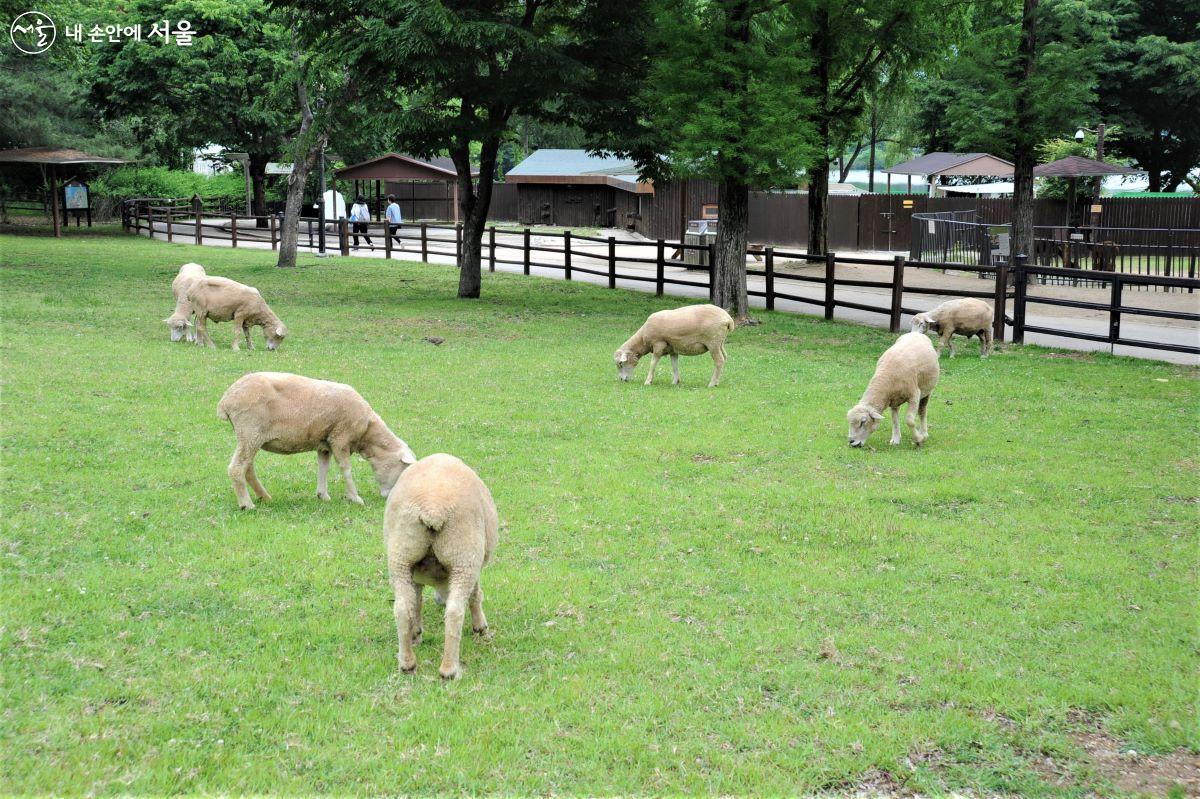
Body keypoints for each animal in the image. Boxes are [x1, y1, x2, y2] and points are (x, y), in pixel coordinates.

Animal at [216, 369, 417, 506]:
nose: (391, 498)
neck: (367, 431)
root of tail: (225, 400)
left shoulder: (325, 443)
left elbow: (323, 468)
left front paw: (323, 495)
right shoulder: (340, 437)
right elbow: (346, 469)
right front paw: (355, 497)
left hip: (249, 437)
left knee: (248, 468)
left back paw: (264, 496)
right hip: (250, 432)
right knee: (237, 468)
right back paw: (246, 504)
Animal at [384, 453, 496, 676]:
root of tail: (432, 508)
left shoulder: (416, 575)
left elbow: (416, 602)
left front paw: (416, 633)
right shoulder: (474, 563)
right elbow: (476, 594)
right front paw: (480, 628)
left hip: (400, 557)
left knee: (402, 608)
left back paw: (407, 663)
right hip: (463, 557)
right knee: (454, 611)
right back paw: (449, 669)